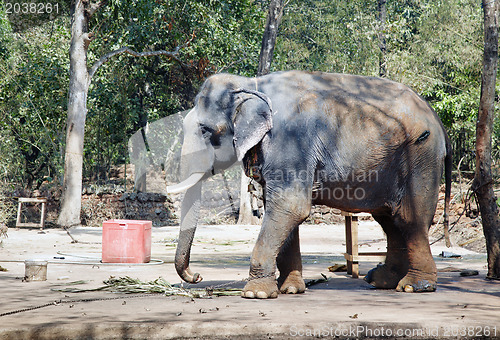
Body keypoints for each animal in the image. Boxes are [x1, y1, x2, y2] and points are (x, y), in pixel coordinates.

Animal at [168, 70, 454, 298]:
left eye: (205, 130)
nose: (197, 276)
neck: (250, 84)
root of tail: (437, 118)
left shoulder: (290, 142)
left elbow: (290, 207)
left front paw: (256, 294)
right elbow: (283, 210)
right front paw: (291, 289)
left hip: (421, 156)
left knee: (408, 218)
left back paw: (413, 286)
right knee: (388, 218)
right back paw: (382, 280)